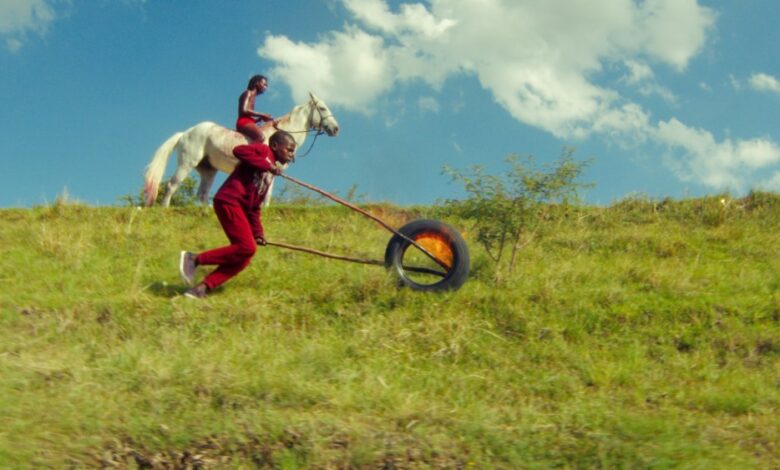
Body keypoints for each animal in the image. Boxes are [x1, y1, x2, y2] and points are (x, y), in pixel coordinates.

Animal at [145, 92, 340, 207]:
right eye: (322, 108)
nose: (336, 129)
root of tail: (185, 133)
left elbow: (267, 196)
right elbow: (265, 195)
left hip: (209, 170)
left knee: (202, 194)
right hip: (187, 163)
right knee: (172, 185)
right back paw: (164, 208)